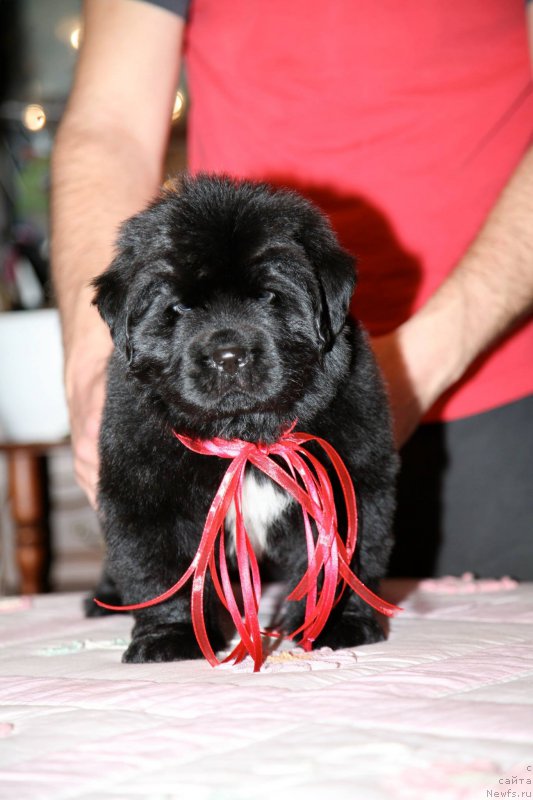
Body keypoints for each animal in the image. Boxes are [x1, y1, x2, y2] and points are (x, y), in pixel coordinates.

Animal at [89, 173, 396, 664]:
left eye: (268, 296)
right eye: (180, 308)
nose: (228, 356)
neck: (246, 436)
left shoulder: (353, 482)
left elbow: (341, 561)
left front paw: (334, 625)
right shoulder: (145, 491)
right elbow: (159, 569)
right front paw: (170, 637)